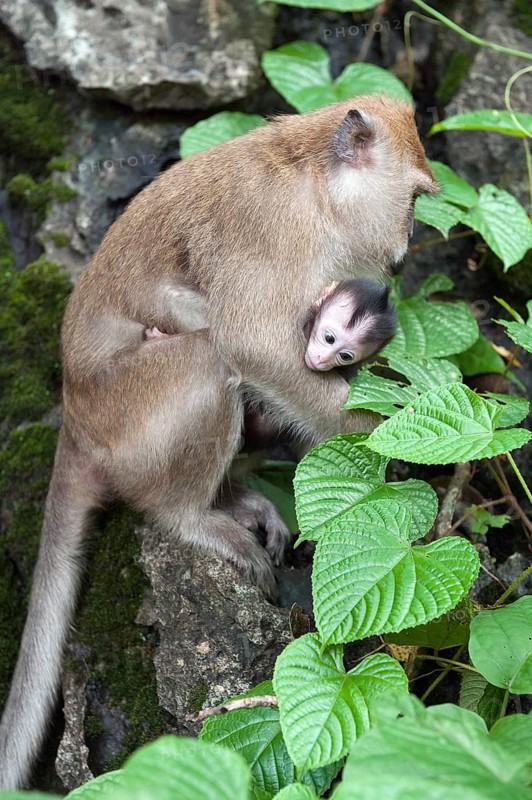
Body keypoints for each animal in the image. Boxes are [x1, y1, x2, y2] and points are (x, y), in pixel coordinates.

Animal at [0, 97, 437, 789]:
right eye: (417, 198)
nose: (407, 243)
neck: (314, 185)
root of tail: (76, 418)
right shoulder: (272, 235)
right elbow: (252, 344)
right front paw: (382, 444)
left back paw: (236, 497)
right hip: (130, 416)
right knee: (210, 362)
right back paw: (194, 518)